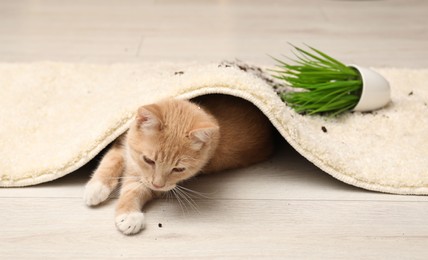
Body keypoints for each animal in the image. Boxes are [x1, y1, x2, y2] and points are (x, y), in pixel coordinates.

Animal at [83, 94, 274, 235]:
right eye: (149, 160)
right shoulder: (124, 142)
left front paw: (129, 215)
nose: (157, 184)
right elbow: (112, 158)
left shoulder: (157, 184)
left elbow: (135, 189)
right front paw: (96, 187)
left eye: (179, 169)